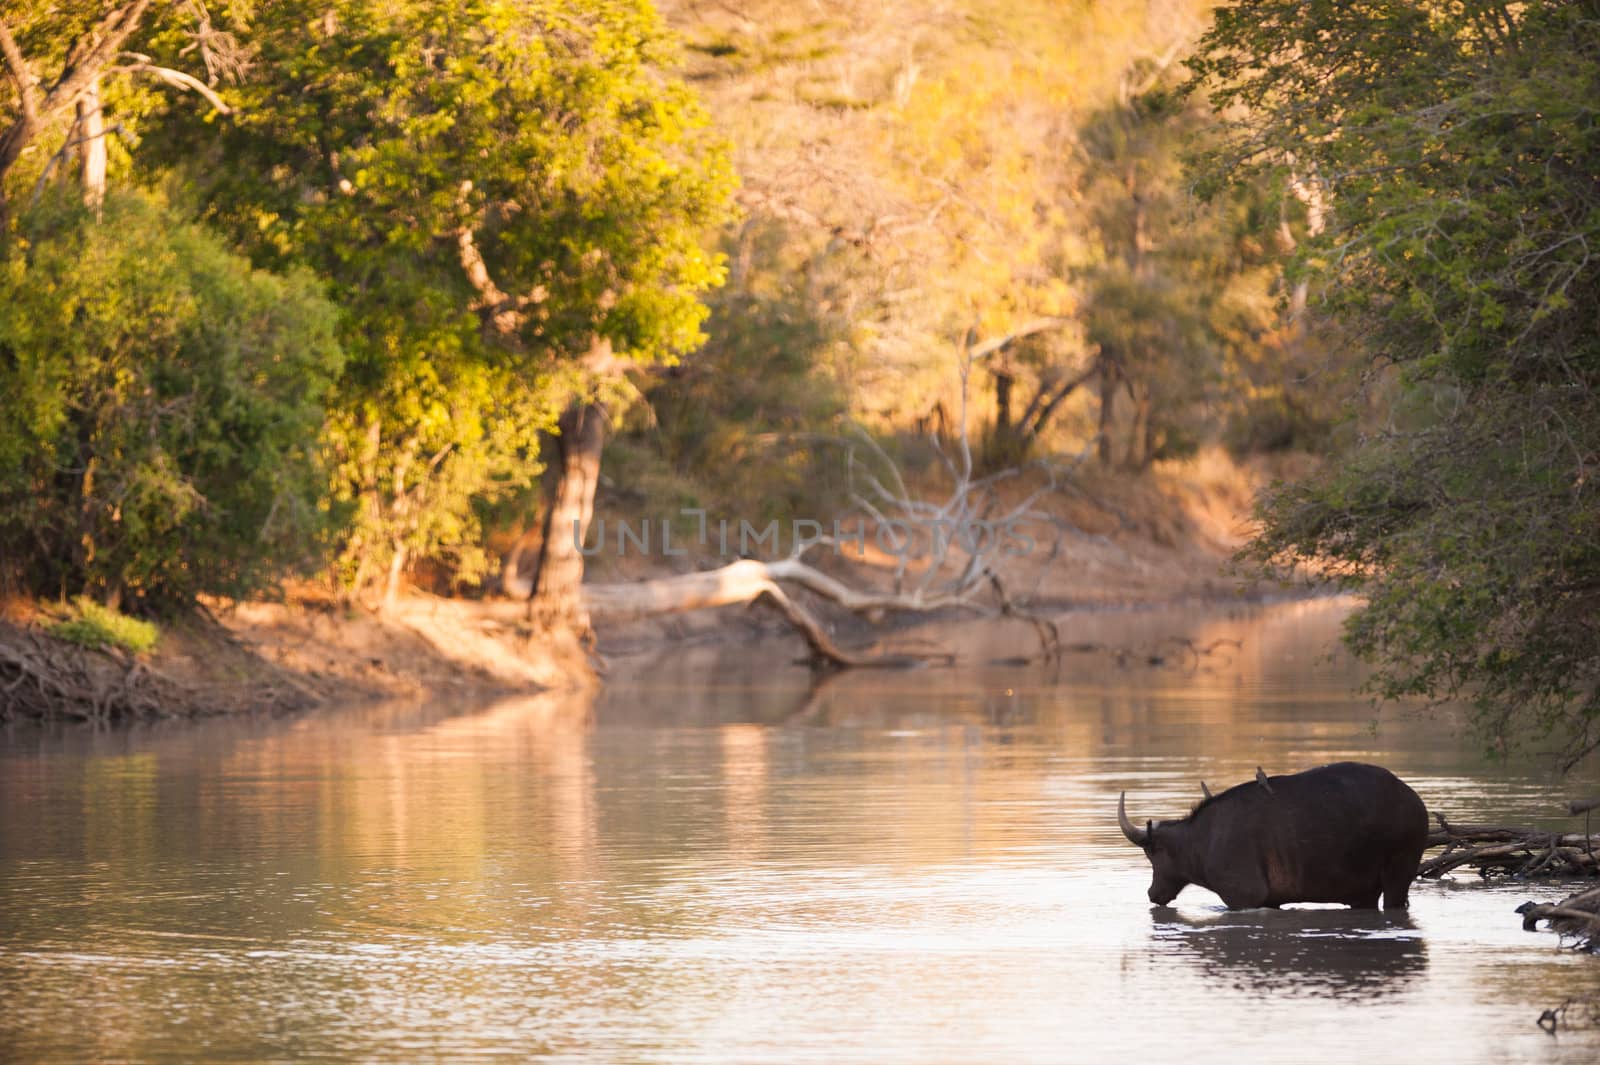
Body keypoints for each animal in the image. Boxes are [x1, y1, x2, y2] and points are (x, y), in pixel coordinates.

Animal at [1120, 757, 1433, 908]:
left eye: (1151, 853)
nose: (1152, 893)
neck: (1201, 842)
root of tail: (1416, 802)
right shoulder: (1271, 900)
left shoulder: (1243, 897)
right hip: (1365, 892)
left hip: (1399, 874)